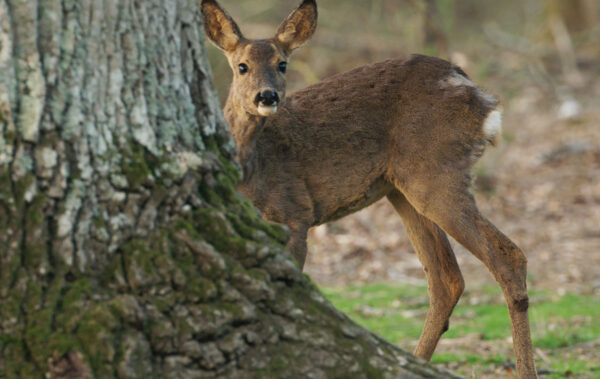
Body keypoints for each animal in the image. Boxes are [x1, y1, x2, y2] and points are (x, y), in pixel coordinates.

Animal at [202, 0, 540, 378]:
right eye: (242, 66)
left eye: (282, 64)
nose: (267, 96)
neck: (251, 168)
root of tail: (481, 99)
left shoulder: (294, 212)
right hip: (403, 188)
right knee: (446, 279)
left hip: (435, 173)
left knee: (507, 256)